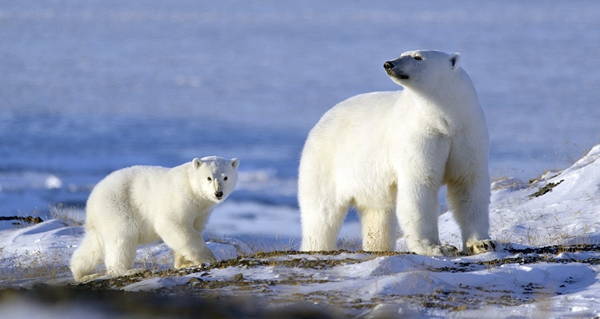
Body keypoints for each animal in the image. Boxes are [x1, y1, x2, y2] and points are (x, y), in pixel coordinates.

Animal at [70, 156, 239, 282]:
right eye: (208, 178)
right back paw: (128, 270)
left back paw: (81, 273)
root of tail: (93, 197)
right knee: (122, 237)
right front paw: (208, 257)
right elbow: (173, 226)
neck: (193, 191)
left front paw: (183, 263)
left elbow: (194, 228)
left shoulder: (201, 211)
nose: (218, 193)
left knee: (93, 245)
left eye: (225, 177)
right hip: (118, 206)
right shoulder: (179, 199)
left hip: (103, 217)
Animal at [298, 50, 494, 256]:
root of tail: (322, 119)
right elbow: (420, 186)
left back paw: (377, 247)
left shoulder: (466, 134)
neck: (444, 120)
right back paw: (316, 247)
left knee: (377, 215)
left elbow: (467, 184)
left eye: (417, 57)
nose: (388, 64)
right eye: (402, 53)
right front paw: (436, 247)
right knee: (322, 215)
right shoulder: (420, 137)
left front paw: (482, 243)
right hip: (326, 163)